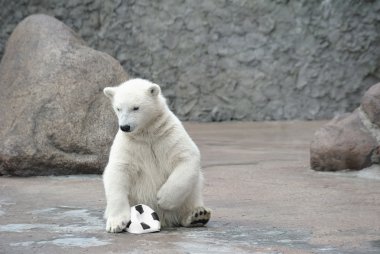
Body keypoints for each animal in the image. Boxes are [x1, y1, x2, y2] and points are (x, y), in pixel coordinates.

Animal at [102, 79, 212, 232]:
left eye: (135, 108)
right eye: (118, 108)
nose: (125, 127)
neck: (147, 133)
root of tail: (164, 219)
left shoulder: (168, 133)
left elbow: (186, 156)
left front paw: (164, 199)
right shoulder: (128, 144)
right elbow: (118, 170)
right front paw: (116, 223)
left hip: (191, 195)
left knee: (191, 193)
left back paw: (197, 214)